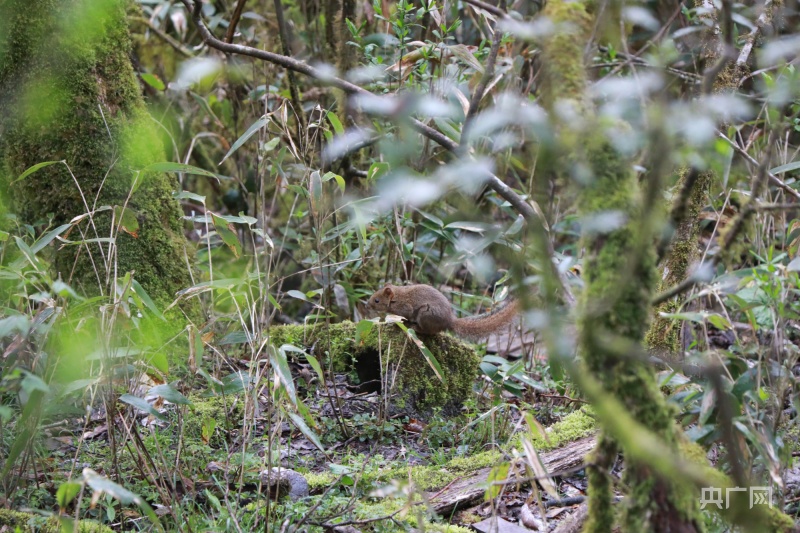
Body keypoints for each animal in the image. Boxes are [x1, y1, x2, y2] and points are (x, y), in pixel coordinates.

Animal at [368, 284, 520, 338]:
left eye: (377, 300)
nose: (366, 305)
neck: (397, 297)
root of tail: (449, 321)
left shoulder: (405, 306)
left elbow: (406, 313)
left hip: (425, 314)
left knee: (429, 331)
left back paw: (415, 327)